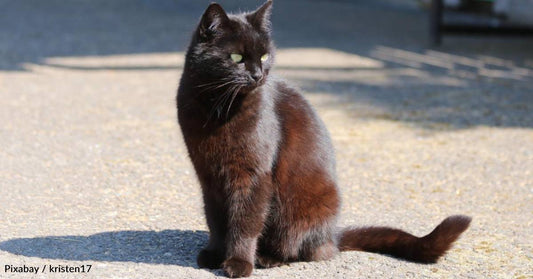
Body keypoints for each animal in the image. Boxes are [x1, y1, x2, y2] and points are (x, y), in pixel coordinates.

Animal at [177, 1, 472, 278]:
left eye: (264, 55)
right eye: (237, 57)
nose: (258, 75)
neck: (217, 107)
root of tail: (332, 236)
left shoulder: (252, 176)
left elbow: (245, 223)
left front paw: (238, 263)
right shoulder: (209, 176)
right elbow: (216, 220)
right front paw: (214, 254)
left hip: (301, 211)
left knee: (300, 248)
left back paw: (267, 258)